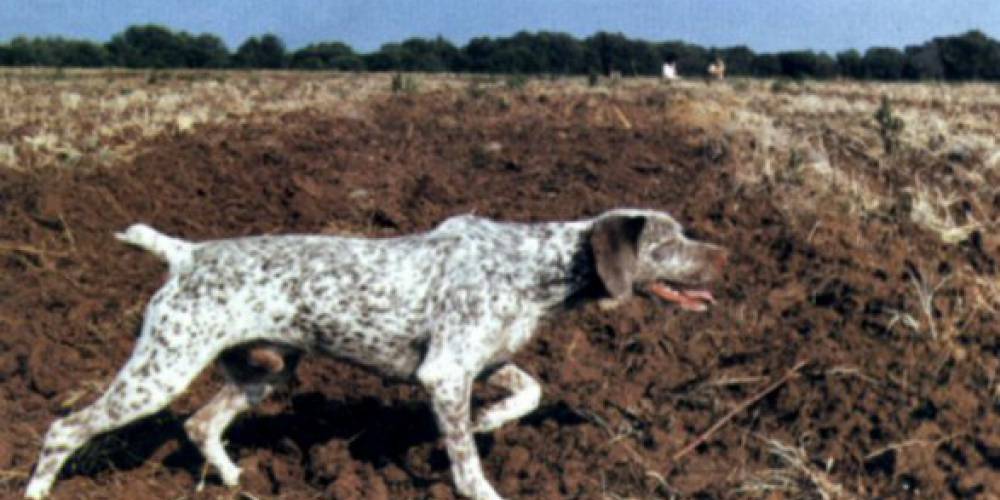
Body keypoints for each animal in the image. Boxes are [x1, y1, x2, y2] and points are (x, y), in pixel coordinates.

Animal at [25, 208, 728, 500]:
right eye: (668, 242)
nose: (726, 255)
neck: (533, 267)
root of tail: (186, 253)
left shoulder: (480, 362)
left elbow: (530, 390)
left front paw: (486, 421)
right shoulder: (445, 373)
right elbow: (467, 469)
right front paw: (480, 475)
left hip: (264, 372)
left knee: (200, 423)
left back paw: (230, 480)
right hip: (160, 370)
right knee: (64, 428)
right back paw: (37, 490)